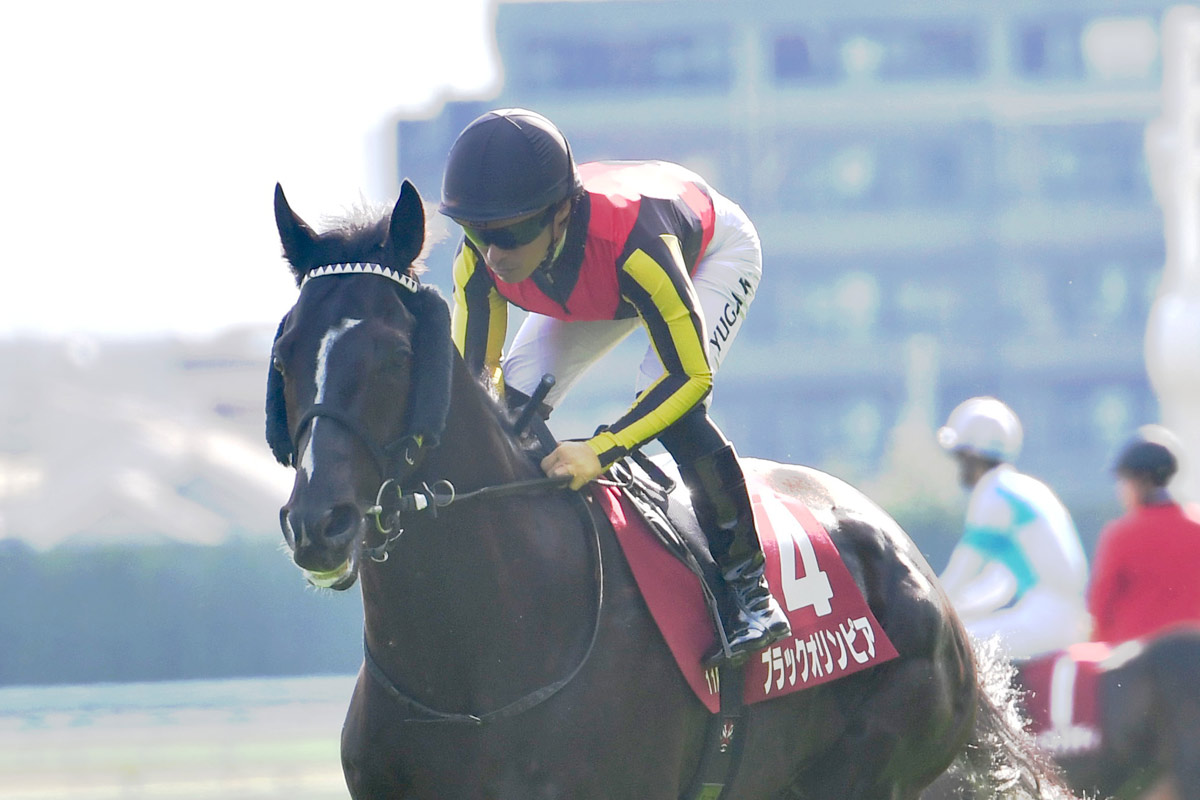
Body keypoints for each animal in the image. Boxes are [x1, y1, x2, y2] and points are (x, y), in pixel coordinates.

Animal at [264, 179, 1072, 800]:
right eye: (285, 351)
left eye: (395, 355)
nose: (319, 524)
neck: (472, 672)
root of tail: (917, 571)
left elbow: (685, 381)